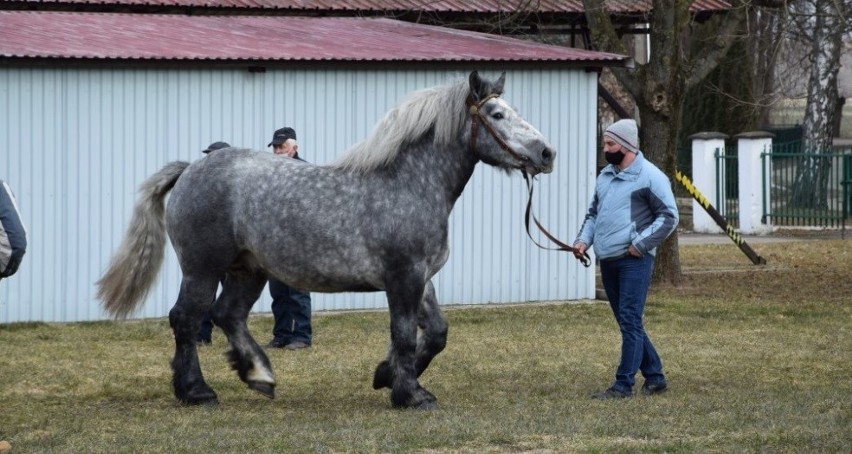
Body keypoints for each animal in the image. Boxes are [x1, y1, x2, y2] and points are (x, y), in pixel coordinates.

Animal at [96, 71, 556, 412]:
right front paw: (409, 395)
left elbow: (437, 333)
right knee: (187, 320)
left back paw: (259, 375)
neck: (408, 184)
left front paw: (385, 376)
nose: (547, 153)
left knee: (227, 315)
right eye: (496, 114)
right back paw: (196, 391)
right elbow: (404, 334)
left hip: (247, 270)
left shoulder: (422, 278)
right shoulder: (403, 277)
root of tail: (191, 168)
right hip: (203, 268)